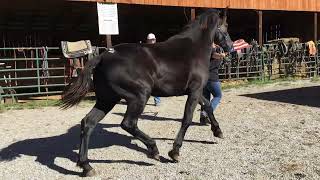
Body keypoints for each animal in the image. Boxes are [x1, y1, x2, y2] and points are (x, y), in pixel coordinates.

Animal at [61, 8, 234, 177]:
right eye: (225, 27)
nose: (231, 47)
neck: (194, 48)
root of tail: (103, 56)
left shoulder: (194, 92)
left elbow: (208, 106)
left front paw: (218, 131)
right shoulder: (195, 90)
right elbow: (187, 119)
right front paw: (175, 152)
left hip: (107, 100)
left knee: (88, 123)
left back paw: (86, 166)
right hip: (139, 96)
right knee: (128, 123)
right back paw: (153, 149)